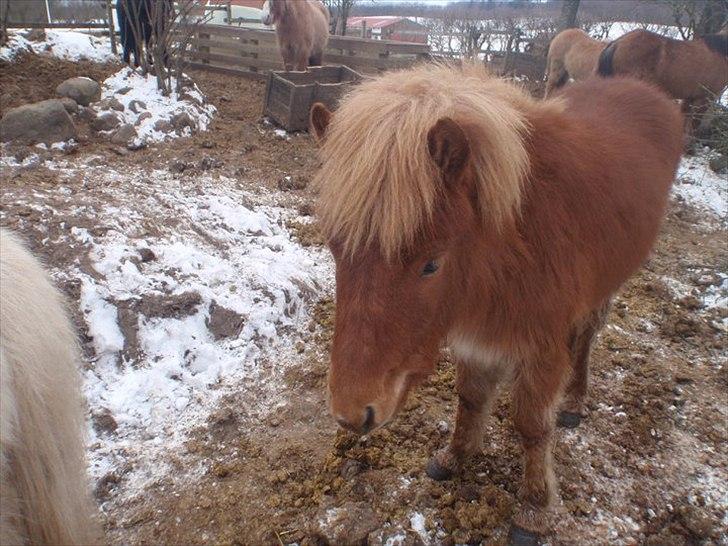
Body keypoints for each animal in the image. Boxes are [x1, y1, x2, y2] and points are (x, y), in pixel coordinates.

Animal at [310, 65, 684, 544]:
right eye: (336, 250)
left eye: (431, 264)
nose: (351, 414)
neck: (512, 243)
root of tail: (644, 88)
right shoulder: (476, 336)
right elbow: (471, 398)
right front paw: (455, 456)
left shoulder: (541, 347)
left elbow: (532, 425)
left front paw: (535, 508)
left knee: (586, 335)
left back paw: (575, 401)